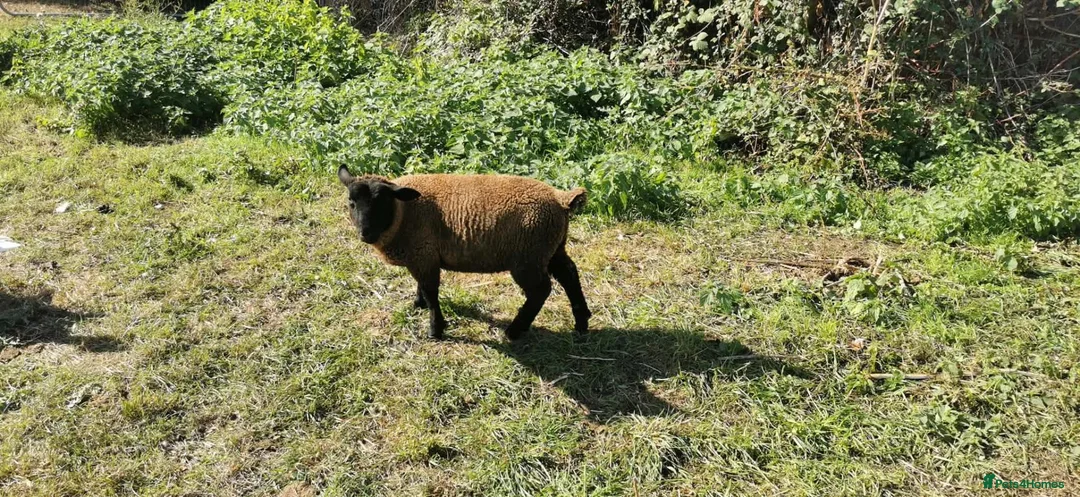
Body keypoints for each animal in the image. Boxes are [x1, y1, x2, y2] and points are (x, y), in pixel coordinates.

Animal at [337, 166, 592, 340]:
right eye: (351, 203)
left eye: (383, 203)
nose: (365, 234)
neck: (404, 213)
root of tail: (560, 199)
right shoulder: (422, 255)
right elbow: (422, 287)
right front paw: (418, 303)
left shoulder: (423, 254)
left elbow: (431, 292)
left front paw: (435, 329)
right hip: (551, 247)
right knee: (569, 274)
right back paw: (582, 322)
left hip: (528, 256)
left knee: (541, 290)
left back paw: (514, 331)